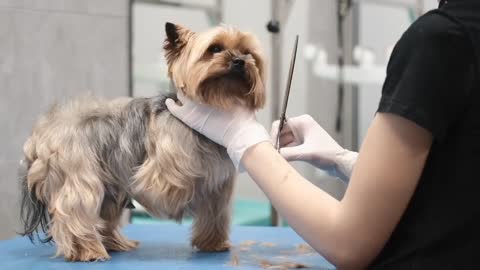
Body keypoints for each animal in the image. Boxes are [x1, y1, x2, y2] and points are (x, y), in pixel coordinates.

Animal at [18, 23, 266, 262]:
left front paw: (213, 243)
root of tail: (42, 132)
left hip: (108, 186)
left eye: (248, 52)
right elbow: (169, 187)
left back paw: (114, 244)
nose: (240, 61)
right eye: (215, 48)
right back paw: (87, 251)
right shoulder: (161, 170)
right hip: (80, 174)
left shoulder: (220, 186)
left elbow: (215, 214)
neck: (218, 103)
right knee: (75, 211)